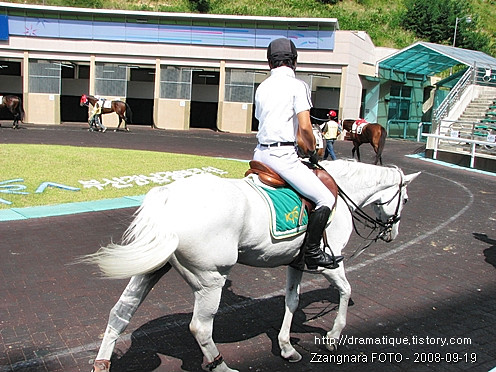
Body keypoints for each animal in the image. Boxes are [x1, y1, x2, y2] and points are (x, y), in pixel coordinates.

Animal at [84, 160, 418, 372]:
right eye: (405, 198)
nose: (392, 232)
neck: (339, 189)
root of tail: (170, 196)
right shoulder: (329, 264)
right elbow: (346, 291)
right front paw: (333, 337)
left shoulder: (296, 263)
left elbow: (292, 301)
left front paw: (286, 347)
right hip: (210, 280)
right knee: (200, 327)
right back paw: (222, 367)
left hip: (152, 270)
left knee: (120, 313)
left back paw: (102, 363)